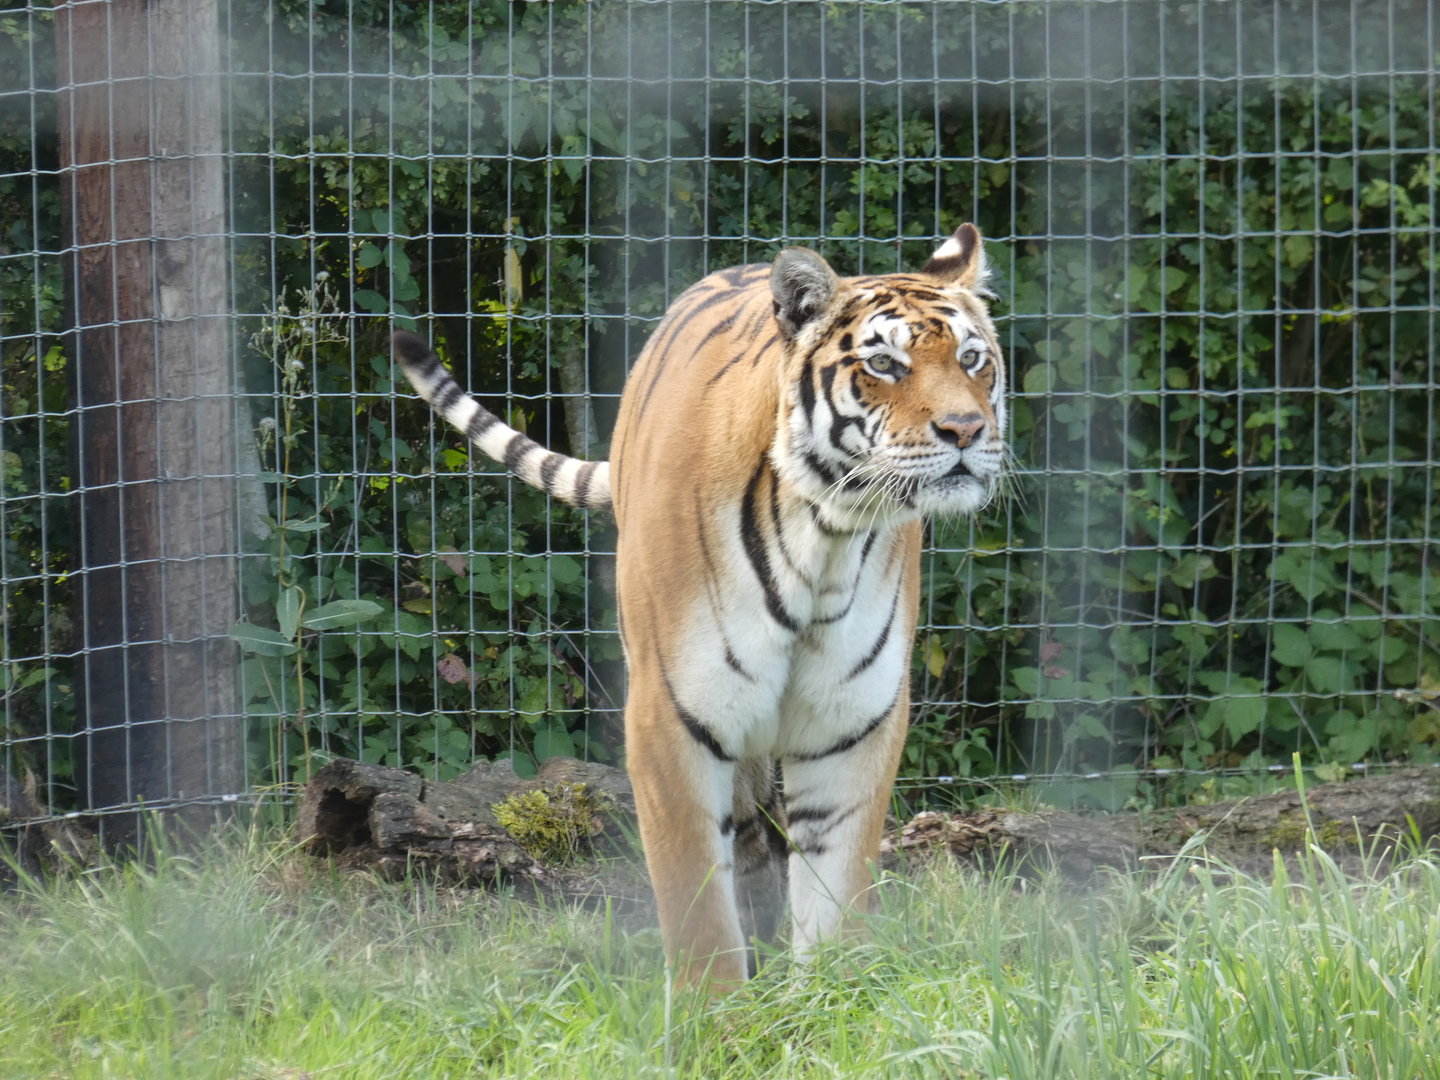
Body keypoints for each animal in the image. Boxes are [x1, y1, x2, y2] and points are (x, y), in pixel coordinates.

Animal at [392, 222, 1006, 991]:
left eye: (972, 358)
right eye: (885, 363)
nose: (966, 430)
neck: (828, 533)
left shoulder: (852, 720)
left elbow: (836, 885)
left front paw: (828, 996)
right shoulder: (673, 713)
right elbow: (697, 904)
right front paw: (718, 1009)